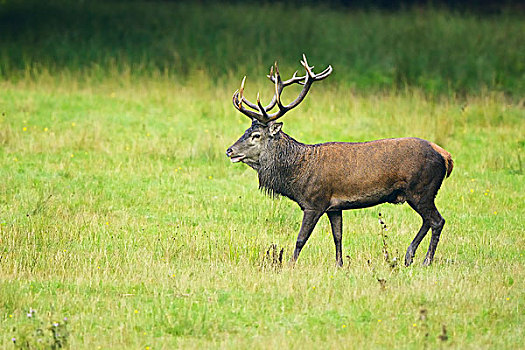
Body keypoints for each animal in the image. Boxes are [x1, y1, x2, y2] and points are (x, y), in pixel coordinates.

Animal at [224, 54, 450, 266]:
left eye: (256, 135)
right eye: (246, 131)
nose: (229, 150)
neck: (297, 175)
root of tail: (446, 156)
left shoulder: (315, 202)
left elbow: (301, 239)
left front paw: (290, 265)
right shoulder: (335, 207)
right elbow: (338, 236)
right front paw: (339, 264)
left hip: (421, 189)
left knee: (437, 221)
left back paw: (425, 260)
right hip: (420, 193)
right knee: (428, 221)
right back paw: (408, 256)